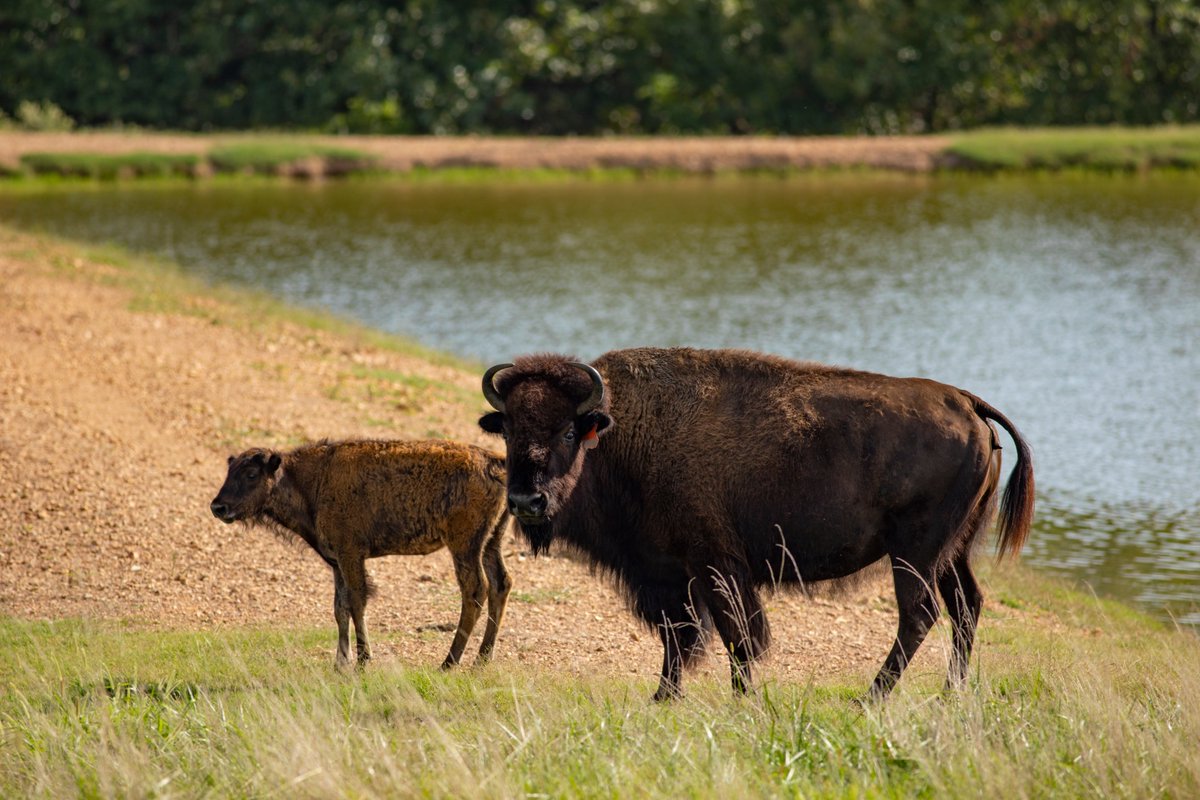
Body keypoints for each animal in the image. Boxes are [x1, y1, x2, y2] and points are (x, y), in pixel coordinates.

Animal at [479, 348, 1033, 700]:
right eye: (507, 429)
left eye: (570, 431)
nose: (526, 500)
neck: (623, 432)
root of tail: (968, 403)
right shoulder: (668, 574)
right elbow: (680, 636)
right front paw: (664, 697)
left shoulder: (712, 565)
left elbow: (733, 635)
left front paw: (738, 697)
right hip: (953, 552)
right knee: (966, 606)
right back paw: (948, 695)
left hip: (915, 552)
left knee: (920, 615)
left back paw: (870, 699)